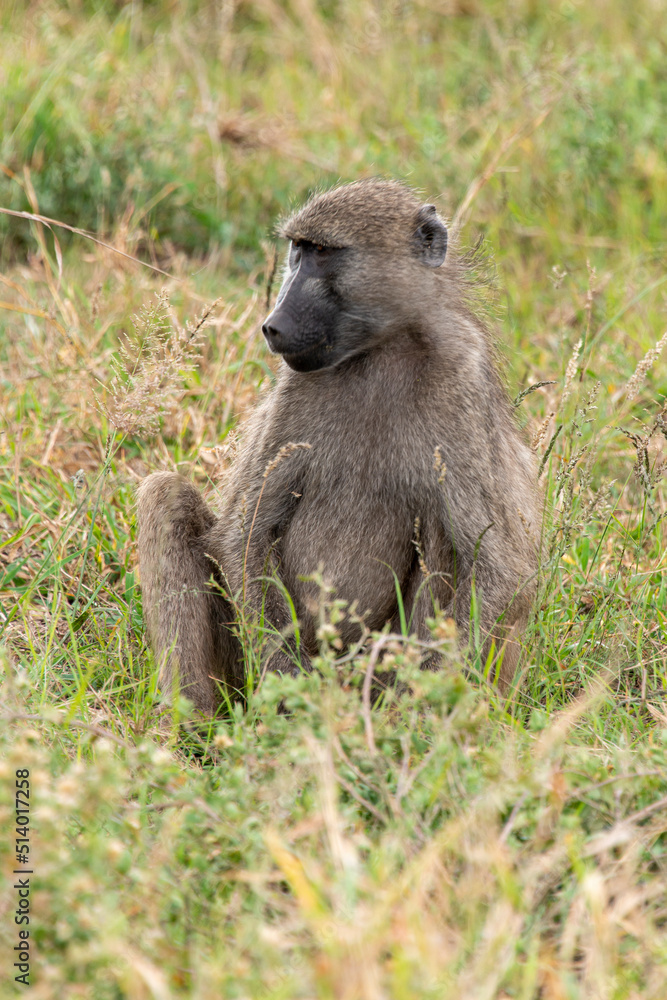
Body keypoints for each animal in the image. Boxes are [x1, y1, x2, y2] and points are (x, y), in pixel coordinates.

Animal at [137, 179, 541, 716]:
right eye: (297, 250)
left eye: (325, 253)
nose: (273, 325)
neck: (379, 352)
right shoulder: (294, 390)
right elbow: (245, 533)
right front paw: (288, 692)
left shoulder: (464, 379)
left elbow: (499, 565)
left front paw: (409, 715)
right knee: (164, 493)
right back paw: (193, 720)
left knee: (440, 530)